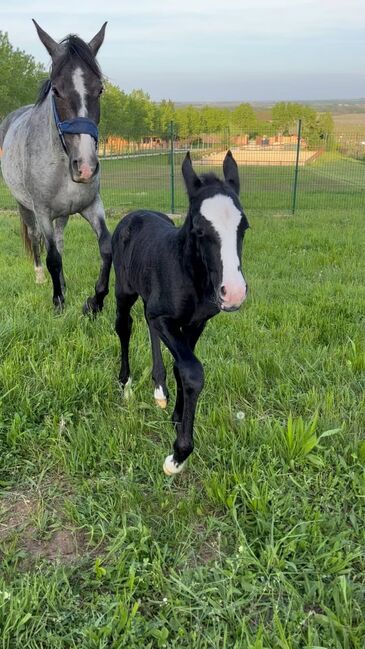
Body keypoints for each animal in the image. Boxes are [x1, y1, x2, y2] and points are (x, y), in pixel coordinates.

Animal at [0, 20, 111, 312]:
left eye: (100, 89)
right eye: (57, 90)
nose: (85, 167)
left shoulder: (91, 205)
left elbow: (106, 248)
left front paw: (95, 302)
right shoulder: (42, 212)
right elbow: (52, 256)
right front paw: (58, 302)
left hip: (63, 213)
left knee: (60, 242)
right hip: (25, 206)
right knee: (36, 239)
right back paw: (41, 278)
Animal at [111, 154, 247, 474]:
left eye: (244, 226)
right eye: (199, 229)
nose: (234, 293)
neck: (189, 274)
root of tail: (135, 213)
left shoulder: (196, 323)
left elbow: (181, 367)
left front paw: (175, 415)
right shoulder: (166, 319)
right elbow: (193, 372)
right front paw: (178, 454)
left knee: (146, 322)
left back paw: (159, 388)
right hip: (124, 291)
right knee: (124, 326)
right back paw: (126, 383)